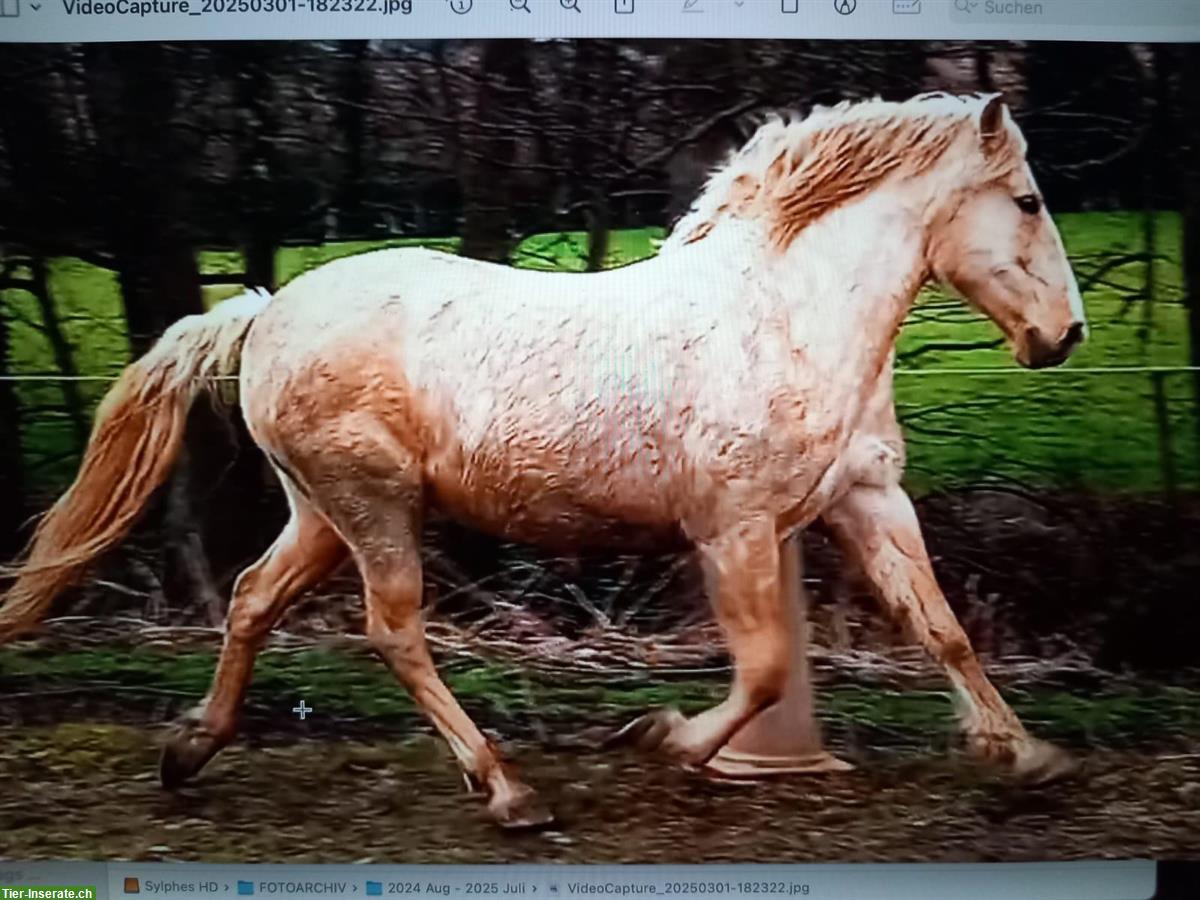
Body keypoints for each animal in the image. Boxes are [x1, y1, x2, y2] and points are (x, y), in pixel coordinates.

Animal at [0, 93, 1087, 828]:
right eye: (1029, 200)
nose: (1064, 336)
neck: (785, 313)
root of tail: (268, 311)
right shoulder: (734, 528)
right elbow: (769, 669)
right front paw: (663, 741)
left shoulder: (866, 500)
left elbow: (943, 630)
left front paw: (1026, 756)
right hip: (374, 506)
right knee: (393, 631)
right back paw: (508, 791)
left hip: (319, 511)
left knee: (253, 599)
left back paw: (191, 751)